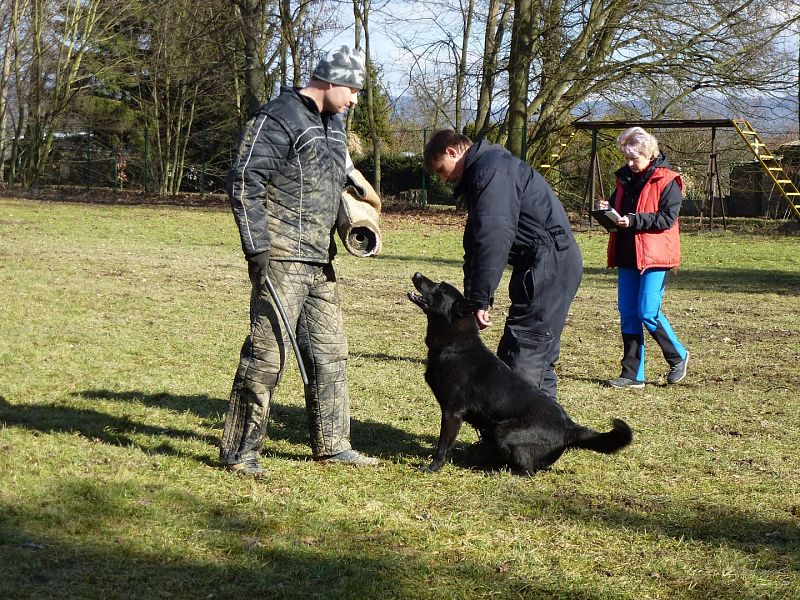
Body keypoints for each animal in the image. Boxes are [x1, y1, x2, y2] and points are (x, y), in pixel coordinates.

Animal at [410, 272, 636, 474]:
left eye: (439, 287)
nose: (417, 274)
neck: (454, 345)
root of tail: (568, 428)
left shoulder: (452, 412)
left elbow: (442, 446)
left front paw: (433, 467)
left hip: (504, 431)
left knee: (527, 470)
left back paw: (494, 471)